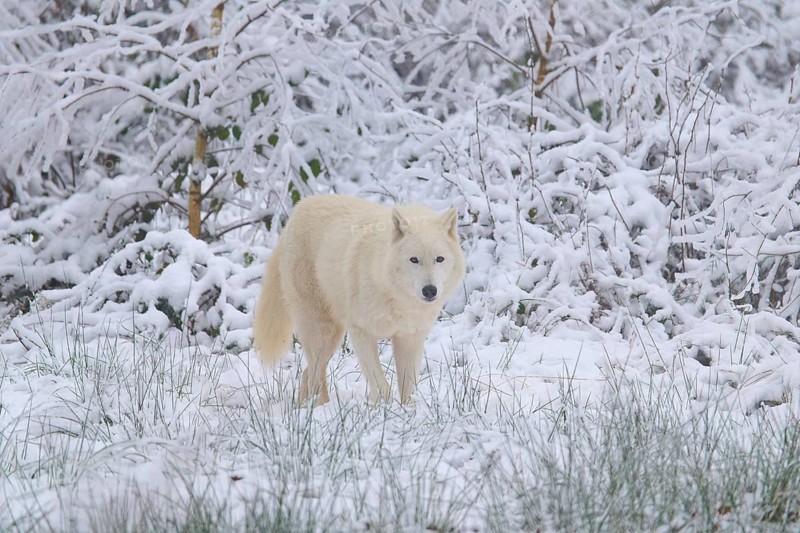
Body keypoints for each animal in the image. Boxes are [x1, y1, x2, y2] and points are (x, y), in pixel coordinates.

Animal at [253, 194, 465, 406]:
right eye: (414, 260)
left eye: (439, 259)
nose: (429, 290)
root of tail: (298, 209)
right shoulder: (362, 333)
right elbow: (381, 385)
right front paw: (382, 409)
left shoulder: (409, 338)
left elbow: (408, 389)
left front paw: (407, 411)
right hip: (322, 332)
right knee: (314, 372)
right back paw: (319, 407)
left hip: (333, 337)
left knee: (308, 372)